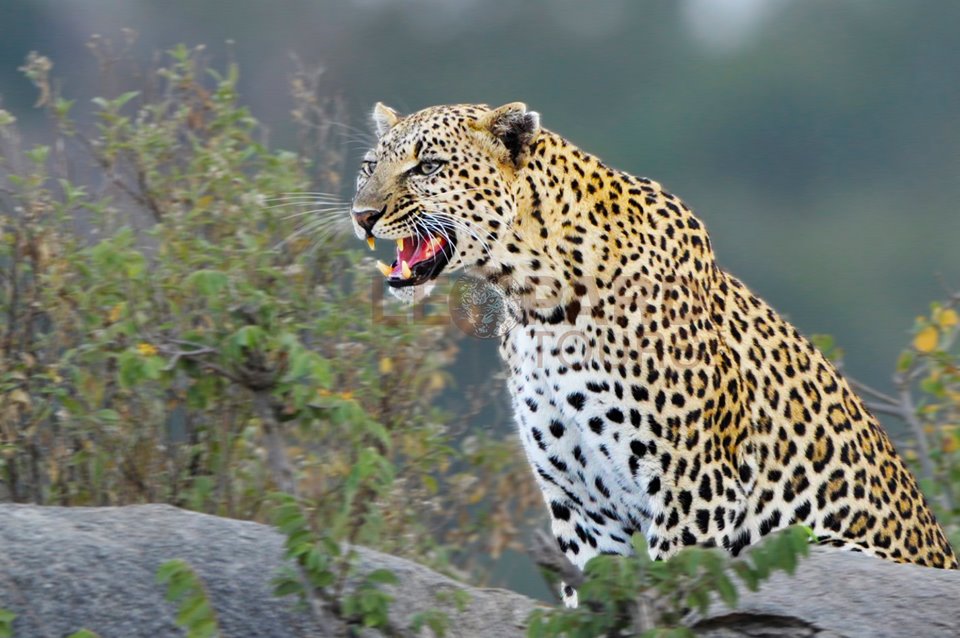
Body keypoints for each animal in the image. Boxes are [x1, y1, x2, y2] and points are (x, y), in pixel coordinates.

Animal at [349, 101, 959, 605]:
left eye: (427, 167)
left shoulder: (694, 488)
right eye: (368, 166)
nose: (361, 215)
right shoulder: (581, 505)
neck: (535, 304)